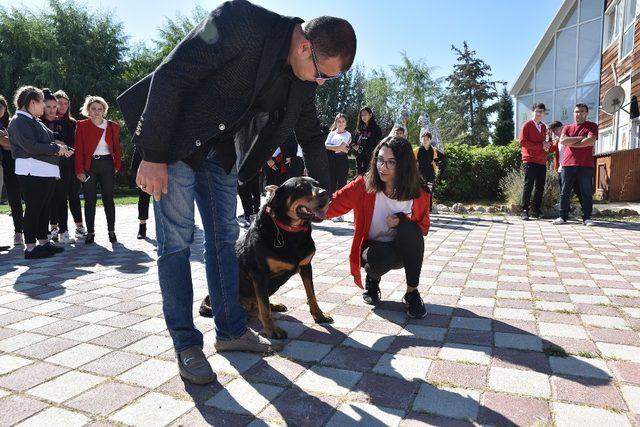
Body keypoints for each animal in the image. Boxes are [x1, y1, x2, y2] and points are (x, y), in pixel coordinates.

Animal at [198, 176, 332, 340]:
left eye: (317, 184)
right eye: (300, 188)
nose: (325, 193)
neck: (291, 233)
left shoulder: (307, 267)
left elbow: (311, 294)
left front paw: (319, 315)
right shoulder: (259, 275)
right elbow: (264, 308)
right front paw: (272, 330)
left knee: (259, 302)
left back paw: (274, 305)